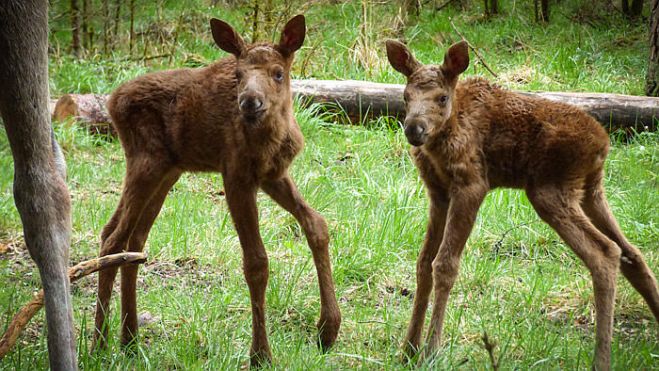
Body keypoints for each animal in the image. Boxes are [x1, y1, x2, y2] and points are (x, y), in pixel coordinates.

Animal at [93, 16, 342, 368]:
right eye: (238, 75)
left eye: (278, 73)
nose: (250, 102)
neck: (272, 137)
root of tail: (112, 101)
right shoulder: (235, 175)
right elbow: (256, 262)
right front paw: (260, 354)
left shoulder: (273, 175)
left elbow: (316, 224)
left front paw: (328, 329)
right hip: (146, 164)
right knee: (114, 239)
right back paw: (98, 344)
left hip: (167, 171)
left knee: (131, 240)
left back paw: (129, 340)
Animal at [386, 39, 659, 370]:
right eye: (405, 96)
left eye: (442, 97)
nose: (414, 129)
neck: (442, 140)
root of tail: (603, 145)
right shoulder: (438, 193)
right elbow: (424, 263)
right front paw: (408, 349)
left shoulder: (472, 185)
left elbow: (445, 265)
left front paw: (430, 351)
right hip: (590, 192)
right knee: (632, 252)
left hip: (549, 191)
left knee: (606, 253)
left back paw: (601, 360)